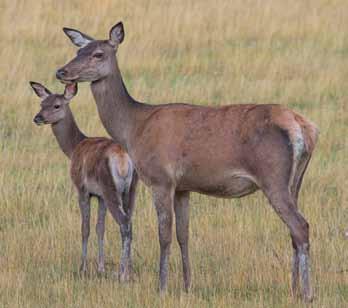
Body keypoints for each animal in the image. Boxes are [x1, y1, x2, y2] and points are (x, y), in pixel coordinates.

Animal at [30, 82, 137, 282]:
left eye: (56, 105)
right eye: (42, 103)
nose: (38, 118)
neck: (73, 148)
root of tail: (122, 159)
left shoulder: (82, 188)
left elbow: (85, 227)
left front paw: (83, 268)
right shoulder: (100, 196)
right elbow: (100, 228)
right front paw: (101, 267)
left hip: (110, 188)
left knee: (124, 224)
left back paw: (122, 274)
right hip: (130, 189)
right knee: (130, 222)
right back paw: (129, 270)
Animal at [56, 22, 318, 300]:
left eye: (98, 54)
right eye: (78, 50)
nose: (62, 71)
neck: (134, 128)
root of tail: (305, 128)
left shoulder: (161, 178)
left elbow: (164, 234)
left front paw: (161, 287)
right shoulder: (184, 186)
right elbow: (184, 234)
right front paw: (186, 285)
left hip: (273, 177)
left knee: (300, 226)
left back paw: (308, 293)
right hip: (295, 181)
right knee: (293, 231)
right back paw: (293, 289)